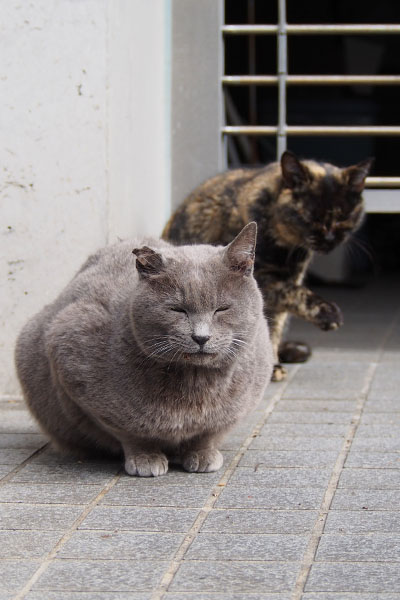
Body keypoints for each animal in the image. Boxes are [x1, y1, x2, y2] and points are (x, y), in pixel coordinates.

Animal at [14, 223, 272, 476]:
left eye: (222, 309)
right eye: (177, 309)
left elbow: (208, 433)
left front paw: (202, 454)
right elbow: (131, 432)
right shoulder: (70, 355)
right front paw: (146, 458)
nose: (201, 337)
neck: (195, 385)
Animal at [162, 152, 372, 382]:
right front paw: (328, 312)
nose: (329, 238)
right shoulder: (256, 280)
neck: (285, 249)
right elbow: (293, 293)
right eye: (309, 216)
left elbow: (276, 325)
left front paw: (271, 366)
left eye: (343, 216)